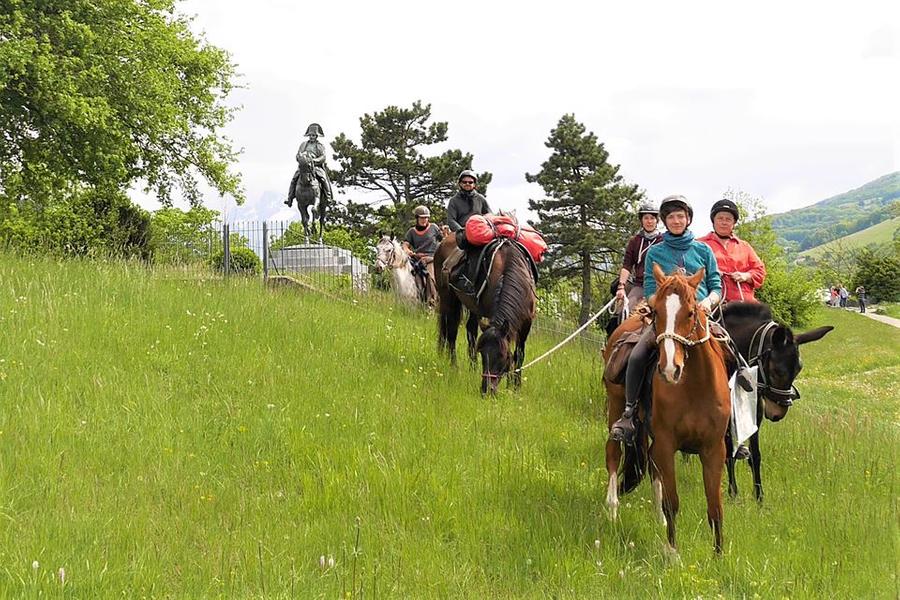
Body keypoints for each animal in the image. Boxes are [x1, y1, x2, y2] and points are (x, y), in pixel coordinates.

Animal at [433, 236, 536, 394]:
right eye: (482, 352)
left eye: (502, 355)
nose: (486, 389)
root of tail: (444, 241)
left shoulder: (526, 323)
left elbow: (519, 354)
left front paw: (514, 386)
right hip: (448, 299)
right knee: (451, 332)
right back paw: (454, 366)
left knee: (469, 331)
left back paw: (472, 368)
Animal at [605, 264, 731, 554]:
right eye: (657, 313)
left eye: (691, 312)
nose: (670, 368)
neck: (695, 387)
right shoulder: (666, 442)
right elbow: (672, 502)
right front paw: (673, 554)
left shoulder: (714, 449)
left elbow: (715, 508)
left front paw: (719, 556)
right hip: (615, 408)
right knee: (613, 453)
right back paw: (612, 508)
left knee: (651, 467)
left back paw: (657, 518)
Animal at [720, 301, 833, 501]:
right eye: (777, 371)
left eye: (798, 369)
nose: (778, 413)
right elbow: (728, 452)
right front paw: (733, 493)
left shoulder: (755, 413)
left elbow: (755, 455)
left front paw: (759, 497)